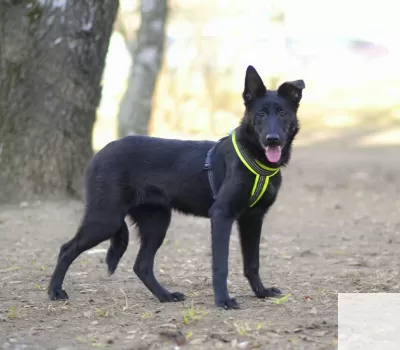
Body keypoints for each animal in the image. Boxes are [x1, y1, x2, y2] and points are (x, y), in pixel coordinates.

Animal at [48, 65, 304, 308]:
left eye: (282, 113)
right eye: (260, 114)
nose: (273, 139)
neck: (256, 157)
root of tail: (99, 153)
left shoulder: (253, 219)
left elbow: (253, 262)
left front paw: (261, 292)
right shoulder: (222, 215)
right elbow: (220, 265)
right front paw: (223, 300)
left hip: (156, 222)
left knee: (142, 265)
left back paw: (165, 296)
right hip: (106, 218)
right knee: (66, 249)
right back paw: (55, 291)